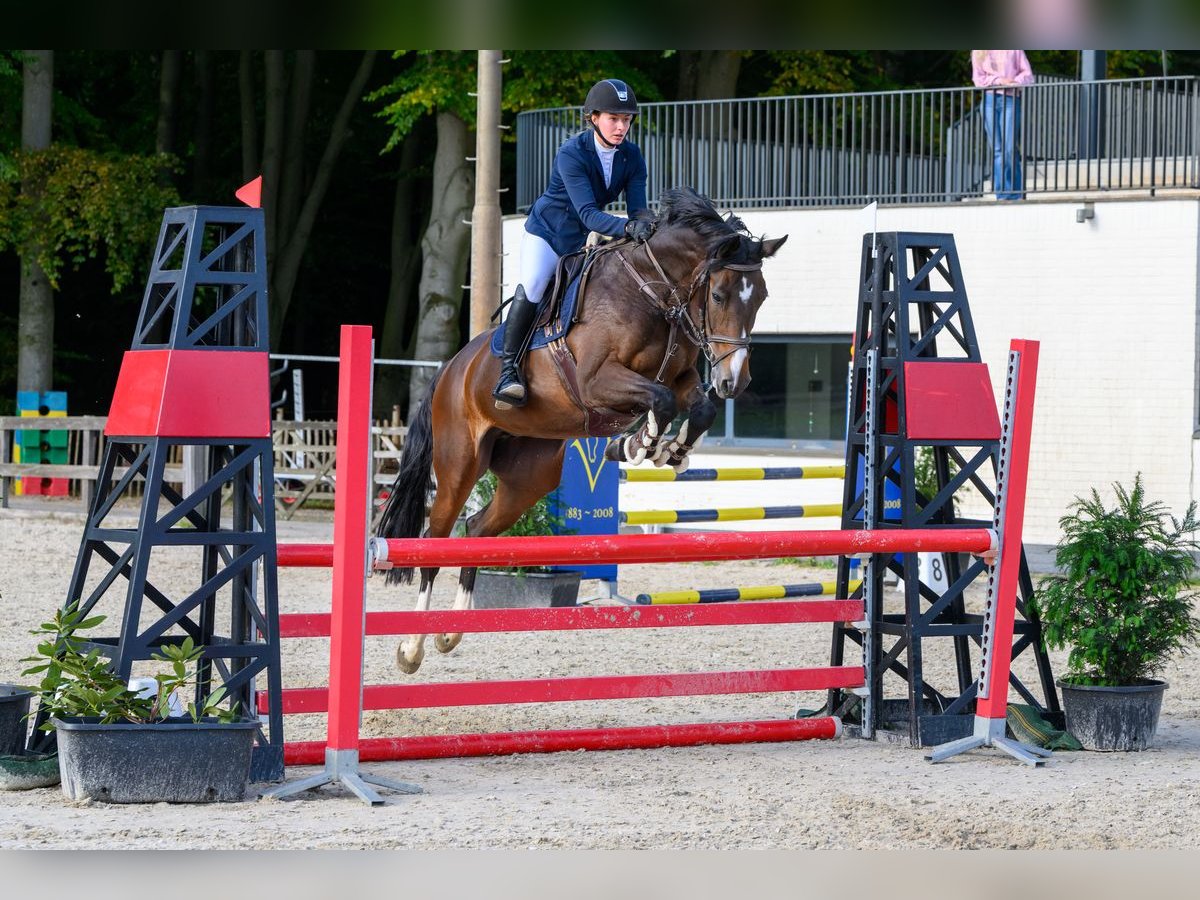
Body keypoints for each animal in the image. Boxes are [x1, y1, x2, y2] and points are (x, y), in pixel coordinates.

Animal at [377, 186, 787, 673]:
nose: (734, 382)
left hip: (530, 476)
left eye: (761, 297)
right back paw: (411, 649)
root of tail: (450, 370)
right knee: (433, 542)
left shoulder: (681, 377)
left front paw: (665, 449)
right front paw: (639, 443)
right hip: (459, 463)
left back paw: (450, 632)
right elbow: (661, 401)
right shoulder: (598, 381)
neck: (655, 293)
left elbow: (696, 406)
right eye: (720, 295)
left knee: (476, 530)